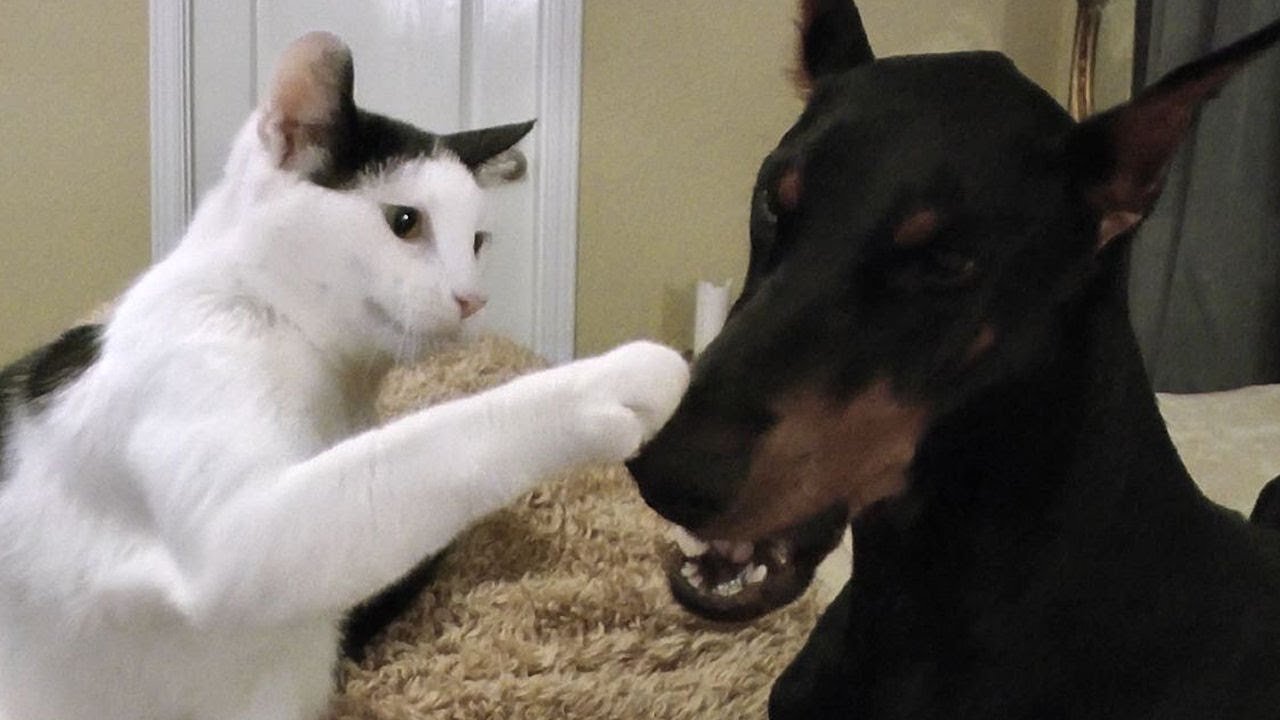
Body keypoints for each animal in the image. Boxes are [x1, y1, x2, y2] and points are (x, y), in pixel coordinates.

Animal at [0, 30, 691, 712]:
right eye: (405, 222)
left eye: (477, 241)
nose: (473, 299)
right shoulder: (241, 522)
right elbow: (431, 442)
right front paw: (623, 377)